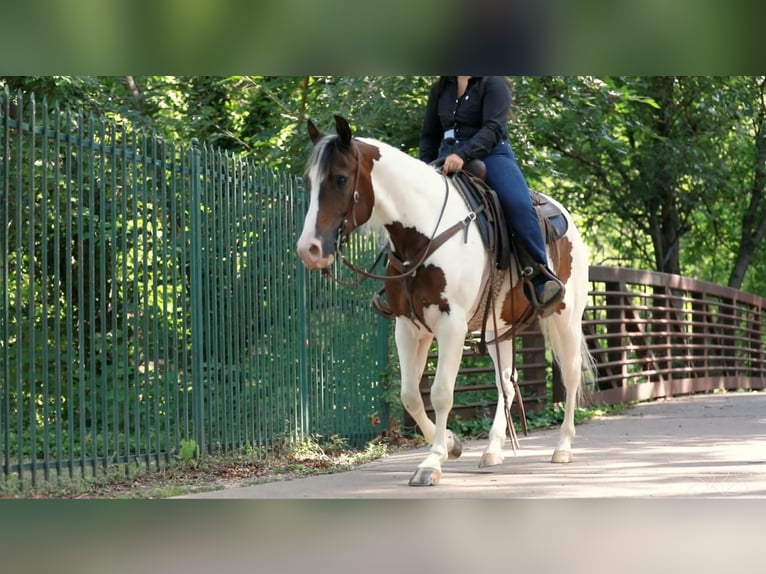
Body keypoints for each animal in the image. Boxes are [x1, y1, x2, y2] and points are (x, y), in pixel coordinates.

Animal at [296, 115, 595, 486]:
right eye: (308, 181)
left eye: (339, 178)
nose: (309, 250)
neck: (422, 235)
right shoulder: (409, 327)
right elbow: (410, 395)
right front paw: (451, 443)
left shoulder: (451, 327)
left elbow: (440, 393)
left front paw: (432, 461)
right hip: (500, 328)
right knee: (506, 384)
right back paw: (493, 450)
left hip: (564, 319)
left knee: (570, 375)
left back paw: (563, 447)